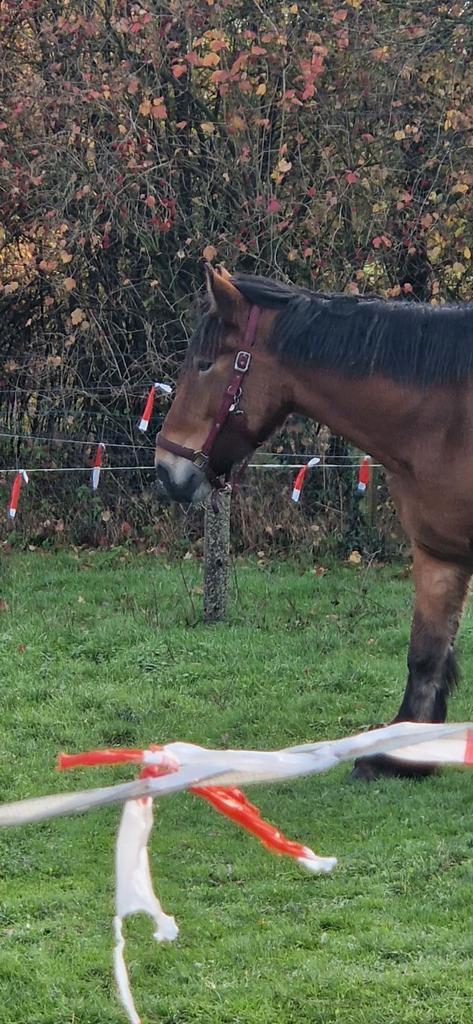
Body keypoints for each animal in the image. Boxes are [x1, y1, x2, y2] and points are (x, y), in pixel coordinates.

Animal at [155, 263, 473, 780]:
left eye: (204, 364)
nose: (167, 470)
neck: (450, 418)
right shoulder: (438, 551)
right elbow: (426, 655)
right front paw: (396, 757)